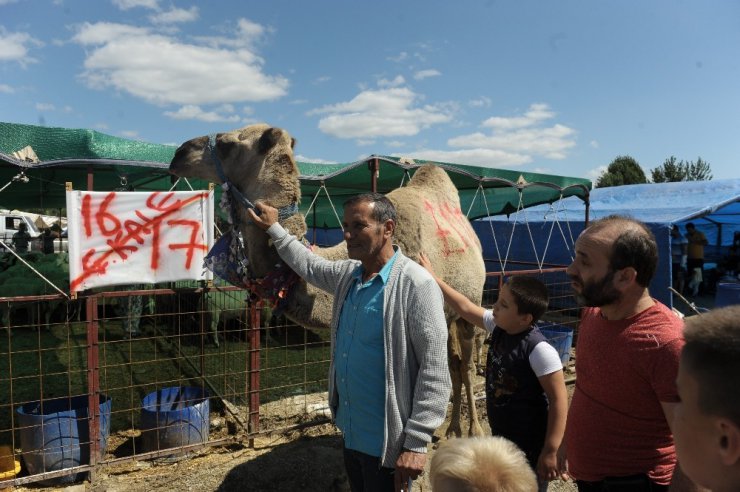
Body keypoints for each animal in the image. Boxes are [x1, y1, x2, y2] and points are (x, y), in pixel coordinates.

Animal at [171, 124, 488, 438]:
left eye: (227, 144)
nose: (179, 154)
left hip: (469, 306)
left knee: (466, 364)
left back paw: (472, 428)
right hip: (449, 315)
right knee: (454, 363)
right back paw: (453, 428)